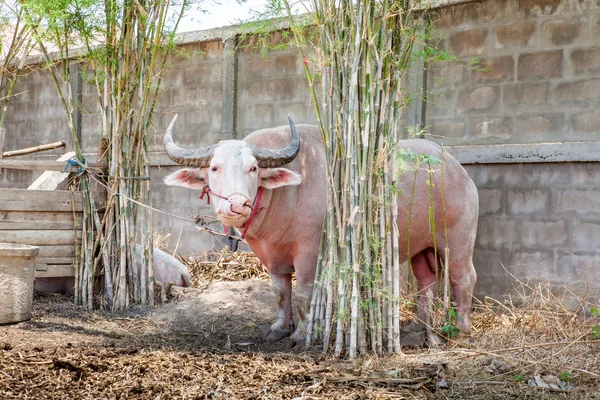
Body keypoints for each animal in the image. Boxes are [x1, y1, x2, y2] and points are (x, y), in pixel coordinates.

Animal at [163, 115, 478, 346]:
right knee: (427, 282)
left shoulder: (309, 253)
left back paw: (460, 327)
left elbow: (303, 294)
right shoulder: (272, 257)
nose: (237, 204)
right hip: (421, 246)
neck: (282, 197)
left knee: (463, 278)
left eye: (253, 168)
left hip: (458, 239)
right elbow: (280, 293)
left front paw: (301, 335)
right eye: (214, 168)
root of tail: (459, 171)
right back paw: (421, 329)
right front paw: (279, 329)